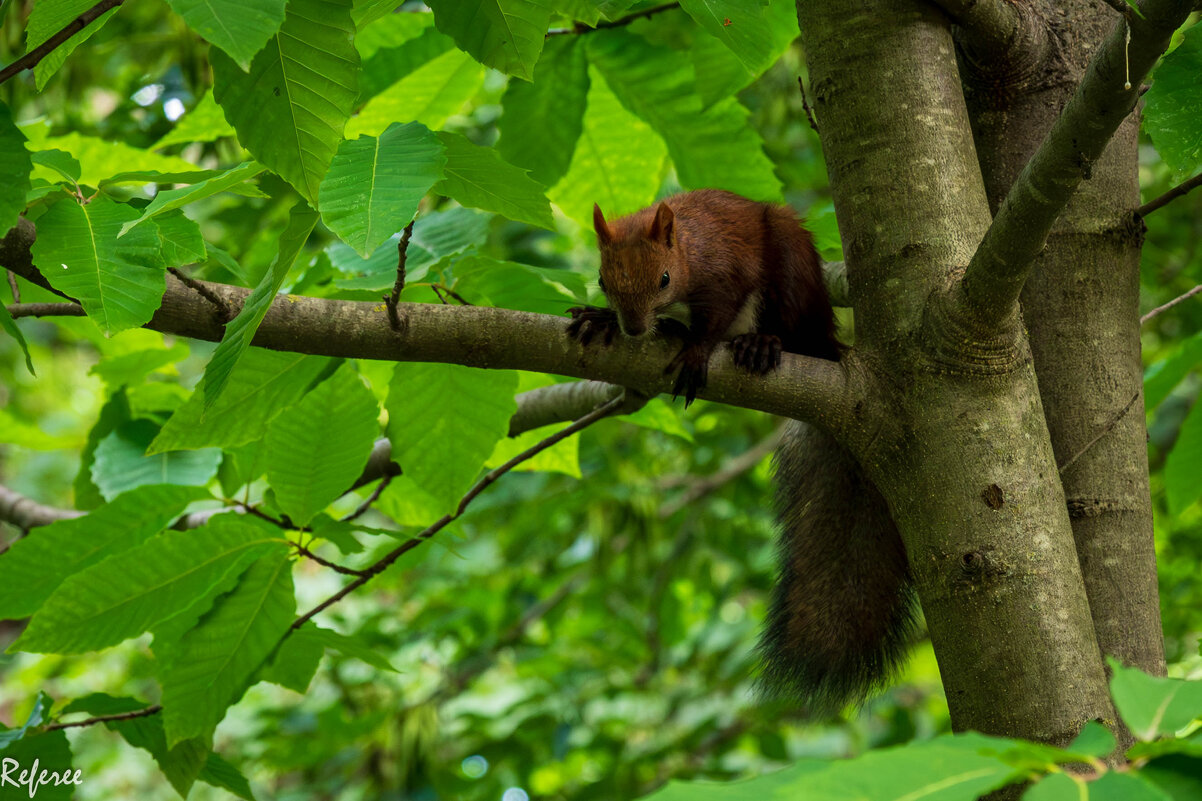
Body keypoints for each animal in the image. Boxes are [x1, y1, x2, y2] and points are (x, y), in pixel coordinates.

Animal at [562, 188, 908, 712]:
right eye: (603, 280)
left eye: (664, 278)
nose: (634, 328)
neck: (685, 249)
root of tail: (830, 345)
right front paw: (600, 317)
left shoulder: (725, 272)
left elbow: (716, 317)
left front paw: (696, 350)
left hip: (792, 273)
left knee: (791, 333)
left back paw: (763, 343)